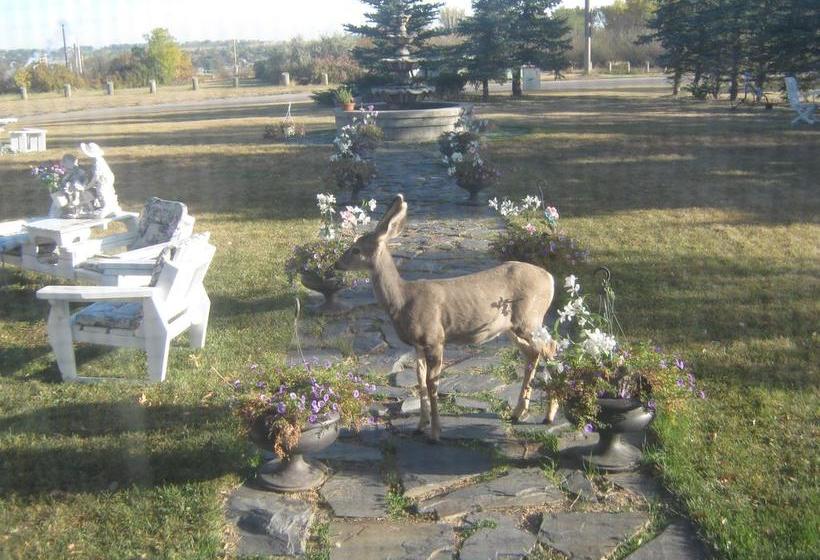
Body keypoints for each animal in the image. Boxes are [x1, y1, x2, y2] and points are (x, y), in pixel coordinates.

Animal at [336, 194, 559, 442]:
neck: (403, 299)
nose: (336, 264)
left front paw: (435, 433)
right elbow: (420, 379)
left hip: (530, 318)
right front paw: (420, 425)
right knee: (534, 353)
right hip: (513, 326)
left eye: (356, 249)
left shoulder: (435, 337)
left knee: (551, 346)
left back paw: (548, 415)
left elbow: (433, 383)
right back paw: (518, 412)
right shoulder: (417, 344)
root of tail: (550, 279)